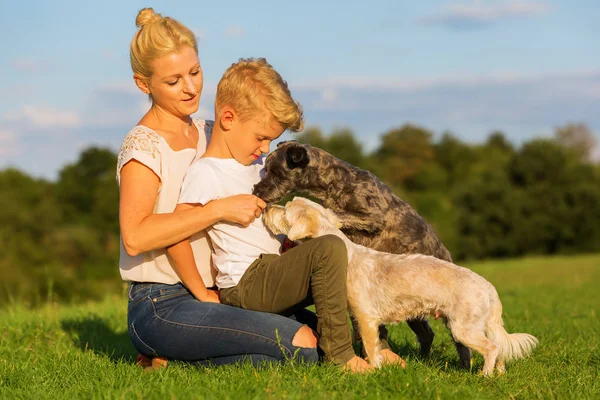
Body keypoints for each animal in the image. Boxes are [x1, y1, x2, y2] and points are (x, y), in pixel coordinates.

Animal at [253, 141, 474, 368]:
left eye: (276, 171)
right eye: (265, 169)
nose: (256, 191)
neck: (339, 181)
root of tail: (447, 254)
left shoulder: (372, 216)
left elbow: (339, 215)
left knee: (459, 342)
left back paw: (464, 364)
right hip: (414, 311)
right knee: (427, 334)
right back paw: (421, 359)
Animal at [264, 197, 536, 376]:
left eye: (285, 210)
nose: (266, 207)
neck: (346, 256)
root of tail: (488, 287)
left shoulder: (366, 318)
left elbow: (371, 346)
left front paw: (374, 369)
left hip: (464, 328)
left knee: (492, 348)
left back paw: (485, 376)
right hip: (476, 325)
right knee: (500, 349)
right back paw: (499, 374)